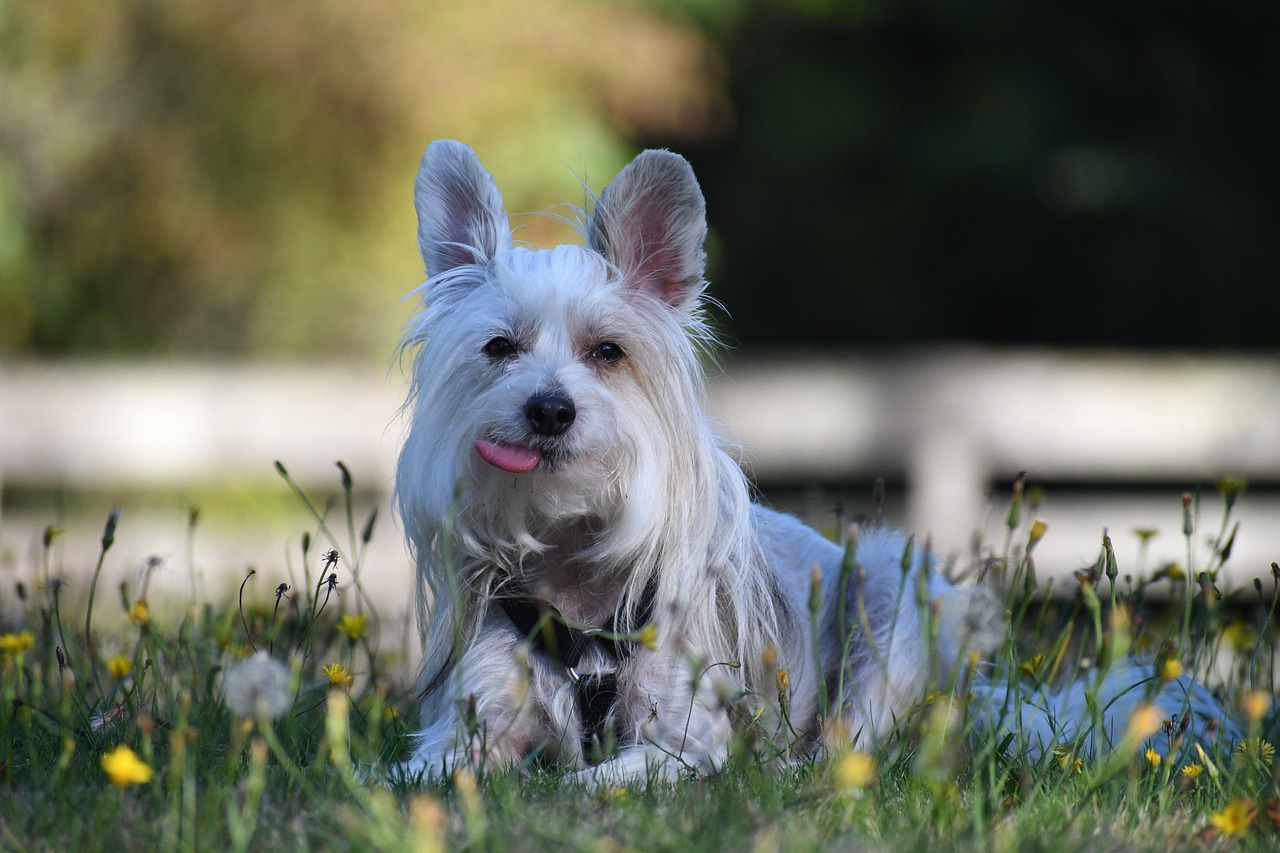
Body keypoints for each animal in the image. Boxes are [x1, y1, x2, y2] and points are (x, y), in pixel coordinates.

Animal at [391, 140, 1239, 783]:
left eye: (608, 351)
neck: (575, 566)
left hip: (891, 597)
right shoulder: (473, 726)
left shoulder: (685, 741)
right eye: (499, 348)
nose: (549, 409)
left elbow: (590, 782)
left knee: (855, 744)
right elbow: (417, 775)